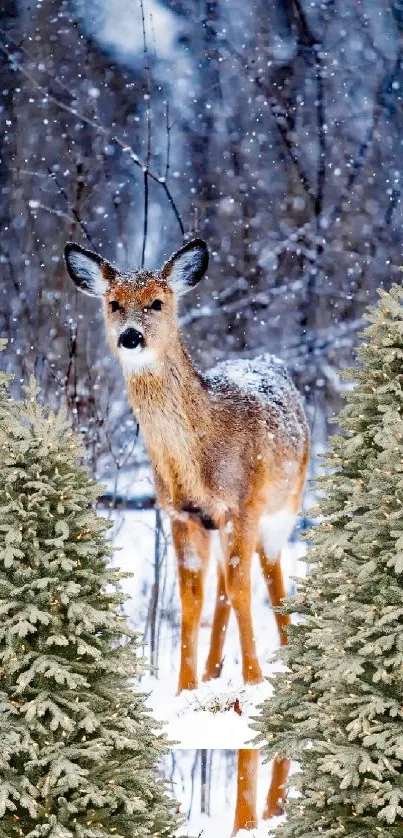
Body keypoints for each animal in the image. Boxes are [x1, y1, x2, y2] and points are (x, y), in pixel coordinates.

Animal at [64, 240, 310, 824]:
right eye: (113, 303)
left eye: (157, 301)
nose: (131, 336)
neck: (198, 456)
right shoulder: (179, 514)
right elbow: (193, 597)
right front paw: (184, 690)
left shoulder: (241, 506)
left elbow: (242, 590)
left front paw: (254, 683)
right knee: (221, 589)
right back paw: (216, 671)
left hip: (282, 510)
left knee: (270, 583)